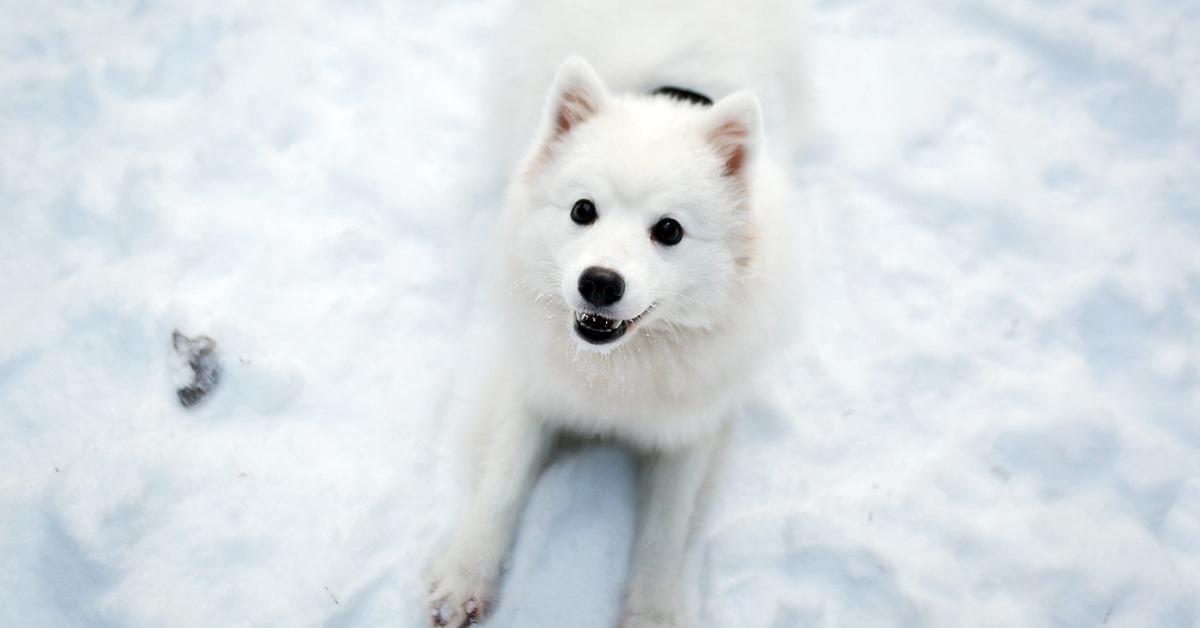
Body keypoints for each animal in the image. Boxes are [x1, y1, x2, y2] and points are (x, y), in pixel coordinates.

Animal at [427, 2, 801, 624]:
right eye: (583, 210)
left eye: (669, 230)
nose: (599, 283)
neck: (616, 374)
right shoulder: (532, 390)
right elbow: (500, 486)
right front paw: (463, 576)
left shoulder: (691, 430)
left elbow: (664, 534)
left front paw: (651, 613)